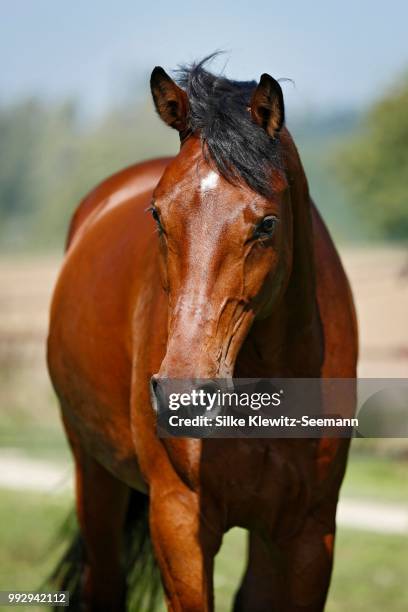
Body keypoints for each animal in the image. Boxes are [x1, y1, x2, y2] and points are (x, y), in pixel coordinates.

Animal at [47, 58, 356, 612]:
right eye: (157, 214)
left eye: (267, 224)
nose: (183, 395)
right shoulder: (180, 519)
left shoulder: (307, 535)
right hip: (94, 474)